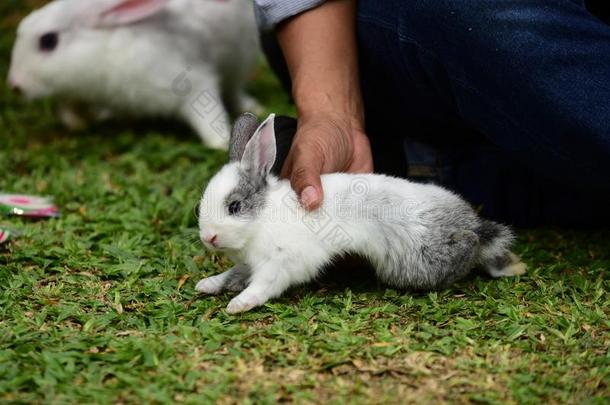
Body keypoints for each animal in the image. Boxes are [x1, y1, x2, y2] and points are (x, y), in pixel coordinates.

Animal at [6, 0, 258, 149]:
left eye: (48, 41)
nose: (14, 85)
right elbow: (68, 106)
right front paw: (77, 124)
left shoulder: (194, 83)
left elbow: (209, 114)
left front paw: (220, 142)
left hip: (240, 60)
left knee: (234, 91)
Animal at [194, 113, 524, 312]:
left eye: (234, 207)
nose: (208, 238)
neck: (263, 218)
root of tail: (471, 223)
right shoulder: (248, 263)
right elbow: (233, 273)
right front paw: (207, 284)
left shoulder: (278, 264)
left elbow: (262, 286)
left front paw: (238, 304)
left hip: (419, 263)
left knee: (471, 246)